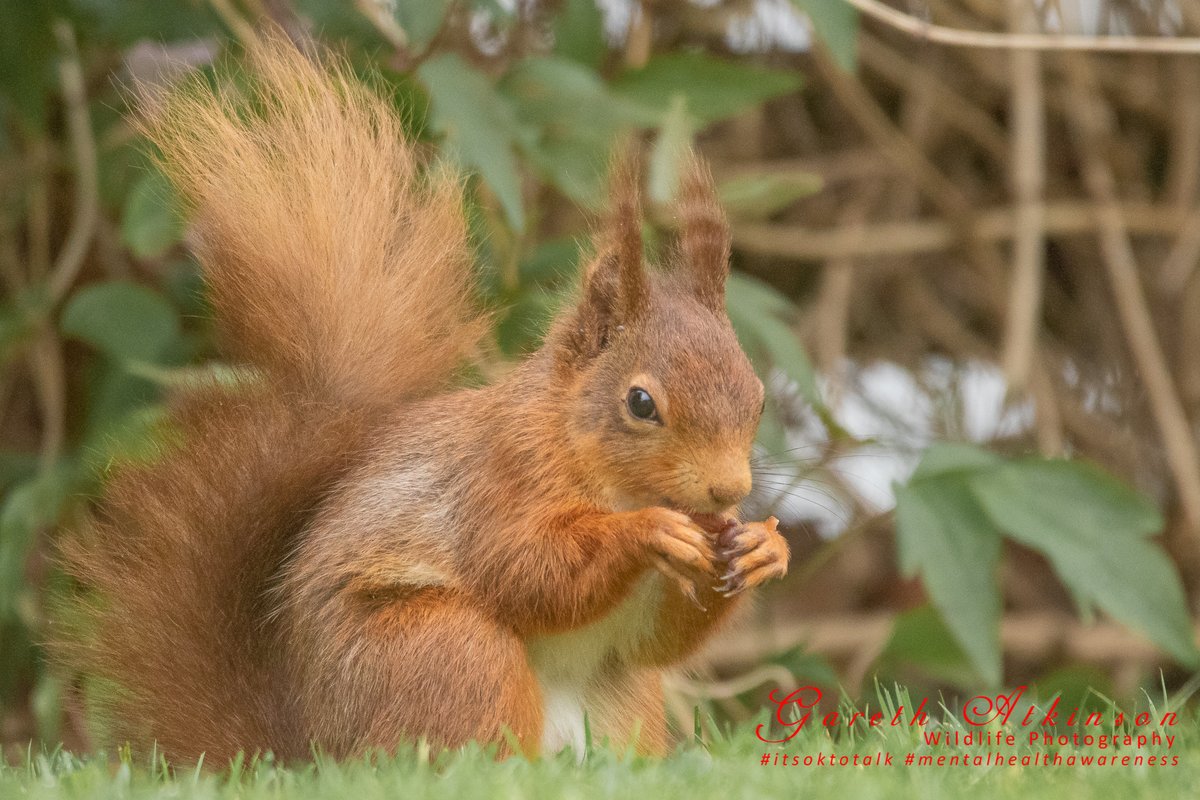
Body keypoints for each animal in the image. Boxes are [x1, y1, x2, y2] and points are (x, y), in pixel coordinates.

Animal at [54, 35, 790, 763]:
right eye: (640, 403)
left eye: (757, 396)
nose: (729, 490)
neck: (597, 462)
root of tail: (316, 753)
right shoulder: (500, 477)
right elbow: (526, 571)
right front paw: (646, 532)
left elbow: (662, 639)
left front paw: (763, 547)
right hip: (442, 649)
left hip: (622, 699)